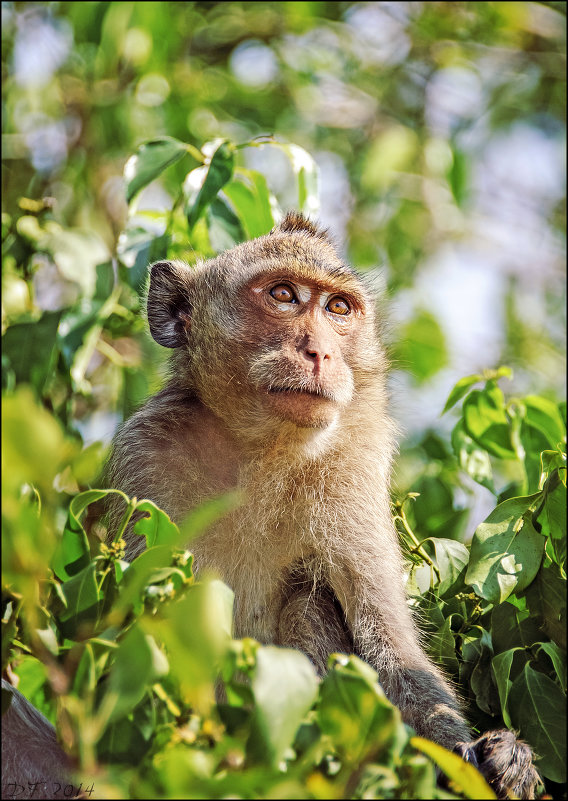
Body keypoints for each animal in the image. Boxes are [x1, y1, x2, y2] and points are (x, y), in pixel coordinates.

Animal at [100, 209, 540, 796]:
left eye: (338, 309)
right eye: (284, 295)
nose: (321, 352)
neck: (262, 453)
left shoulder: (354, 462)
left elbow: (392, 651)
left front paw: (498, 760)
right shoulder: (148, 457)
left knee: (306, 602)